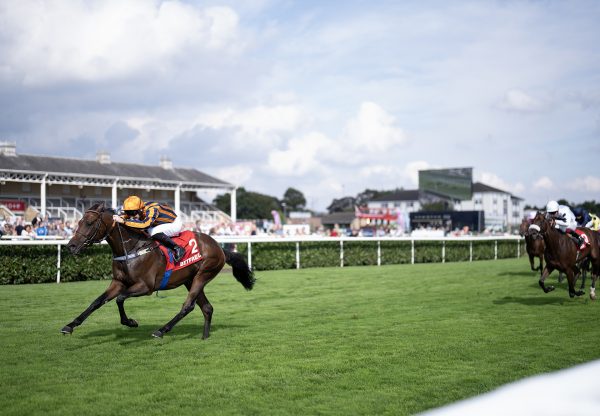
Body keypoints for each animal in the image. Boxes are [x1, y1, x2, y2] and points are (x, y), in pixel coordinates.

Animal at [62, 203, 254, 340]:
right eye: (79, 222)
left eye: (89, 223)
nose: (71, 246)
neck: (131, 249)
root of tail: (219, 247)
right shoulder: (118, 282)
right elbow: (97, 302)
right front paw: (70, 325)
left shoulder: (146, 287)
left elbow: (120, 298)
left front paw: (130, 322)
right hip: (190, 279)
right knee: (206, 308)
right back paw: (204, 337)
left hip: (203, 275)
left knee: (188, 306)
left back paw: (161, 330)